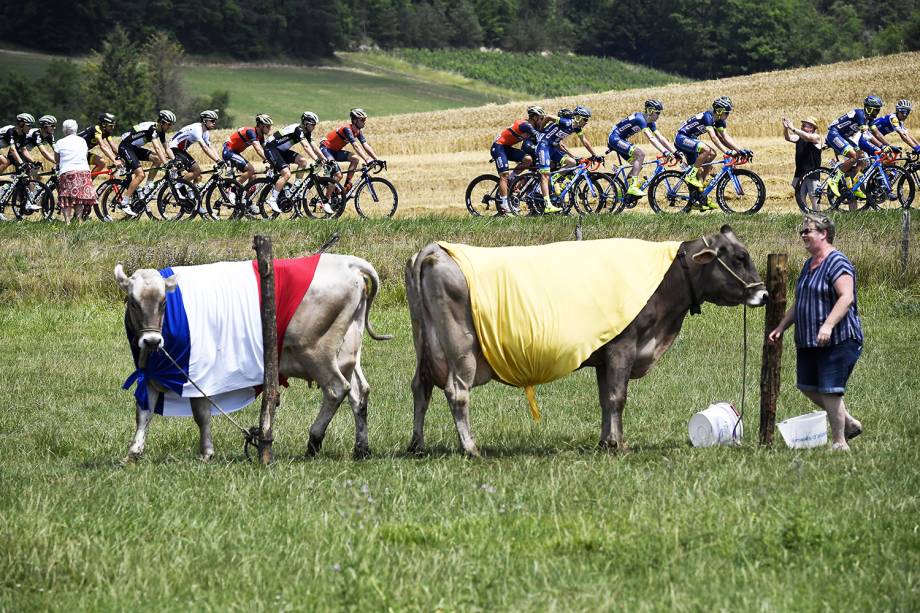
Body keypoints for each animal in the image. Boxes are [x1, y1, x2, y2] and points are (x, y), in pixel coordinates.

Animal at [404, 225, 768, 454]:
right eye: (739, 257)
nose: (763, 294)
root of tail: (433, 250)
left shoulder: (604, 355)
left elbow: (605, 398)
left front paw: (607, 440)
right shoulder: (623, 346)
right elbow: (618, 397)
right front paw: (618, 445)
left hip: (425, 345)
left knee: (420, 387)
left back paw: (416, 445)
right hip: (461, 348)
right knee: (456, 391)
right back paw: (470, 447)